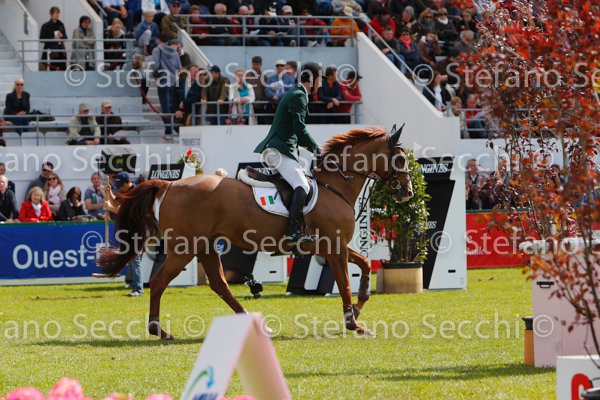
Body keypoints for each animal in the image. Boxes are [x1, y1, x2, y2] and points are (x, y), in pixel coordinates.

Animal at [97, 126, 413, 339]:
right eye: (400, 159)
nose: (408, 192)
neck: (335, 184)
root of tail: (169, 185)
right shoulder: (333, 248)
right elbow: (345, 283)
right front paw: (354, 323)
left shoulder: (330, 246)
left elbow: (364, 264)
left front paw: (360, 306)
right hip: (184, 249)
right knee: (160, 281)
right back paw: (158, 331)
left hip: (205, 246)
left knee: (219, 284)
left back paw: (252, 321)